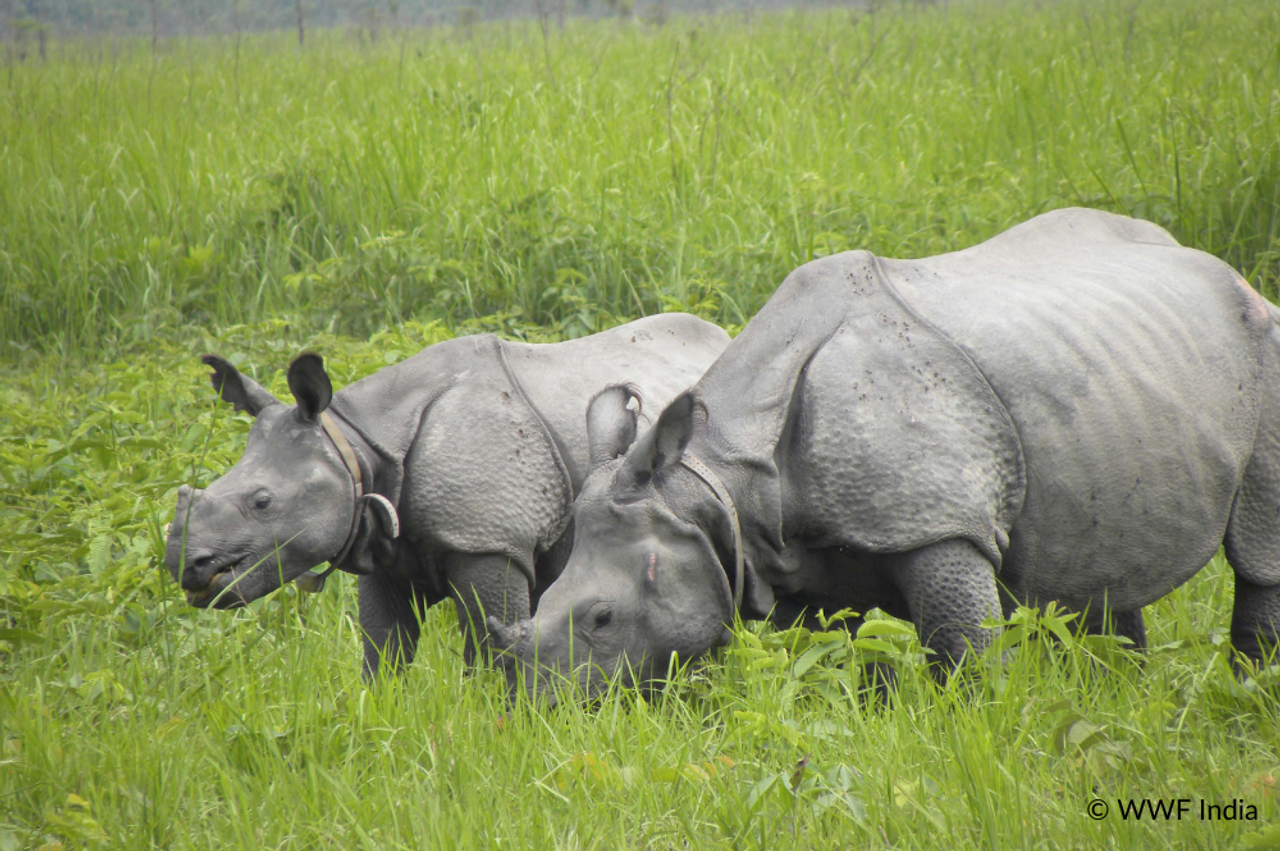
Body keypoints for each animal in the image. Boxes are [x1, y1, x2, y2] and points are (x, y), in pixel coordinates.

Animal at [164, 314, 729, 676]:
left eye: (263, 503)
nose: (187, 567)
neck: (355, 445)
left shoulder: (489, 541)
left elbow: (487, 640)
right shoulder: (382, 543)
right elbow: (384, 648)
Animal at [493, 208, 1280, 700]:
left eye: (602, 619)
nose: (541, 712)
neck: (712, 478)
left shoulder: (938, 521)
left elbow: (964, 649)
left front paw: (982, 728)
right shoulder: (796, 556)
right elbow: (831, 662)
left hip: (1264, 339)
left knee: (1257, 552)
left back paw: (1250, 694)